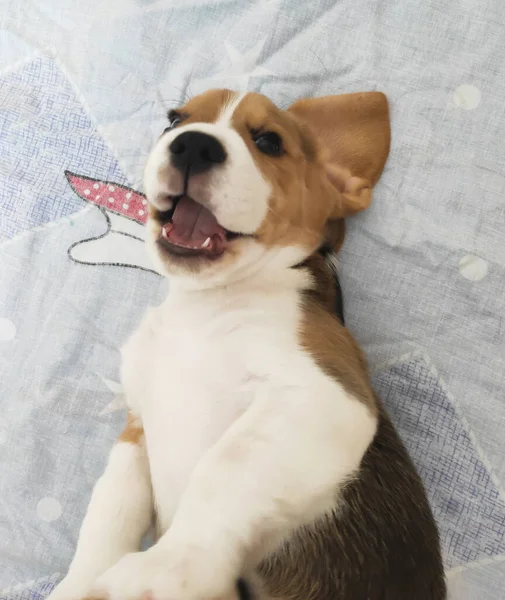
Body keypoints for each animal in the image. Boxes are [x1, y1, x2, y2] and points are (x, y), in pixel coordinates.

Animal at [49, 89, 444, 600]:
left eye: (269, 142)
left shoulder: (324, 397)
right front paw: (80, 582)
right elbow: (109, 509)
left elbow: (224, 470)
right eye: (173, 121)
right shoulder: (136, 428)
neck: (203, 305)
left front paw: (158, 574)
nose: (193, 145)